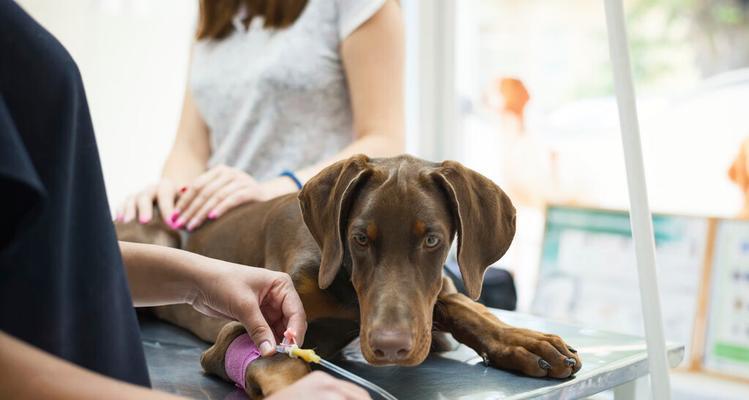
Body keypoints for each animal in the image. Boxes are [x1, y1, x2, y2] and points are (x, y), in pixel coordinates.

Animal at [117, 155, 580, 398]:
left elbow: (463, 306)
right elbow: (276, 360)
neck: (347, 292)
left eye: (432, 240)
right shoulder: (243, 325)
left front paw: (524, 340)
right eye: (359, 238)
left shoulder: (434, 297)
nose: (391, 347)